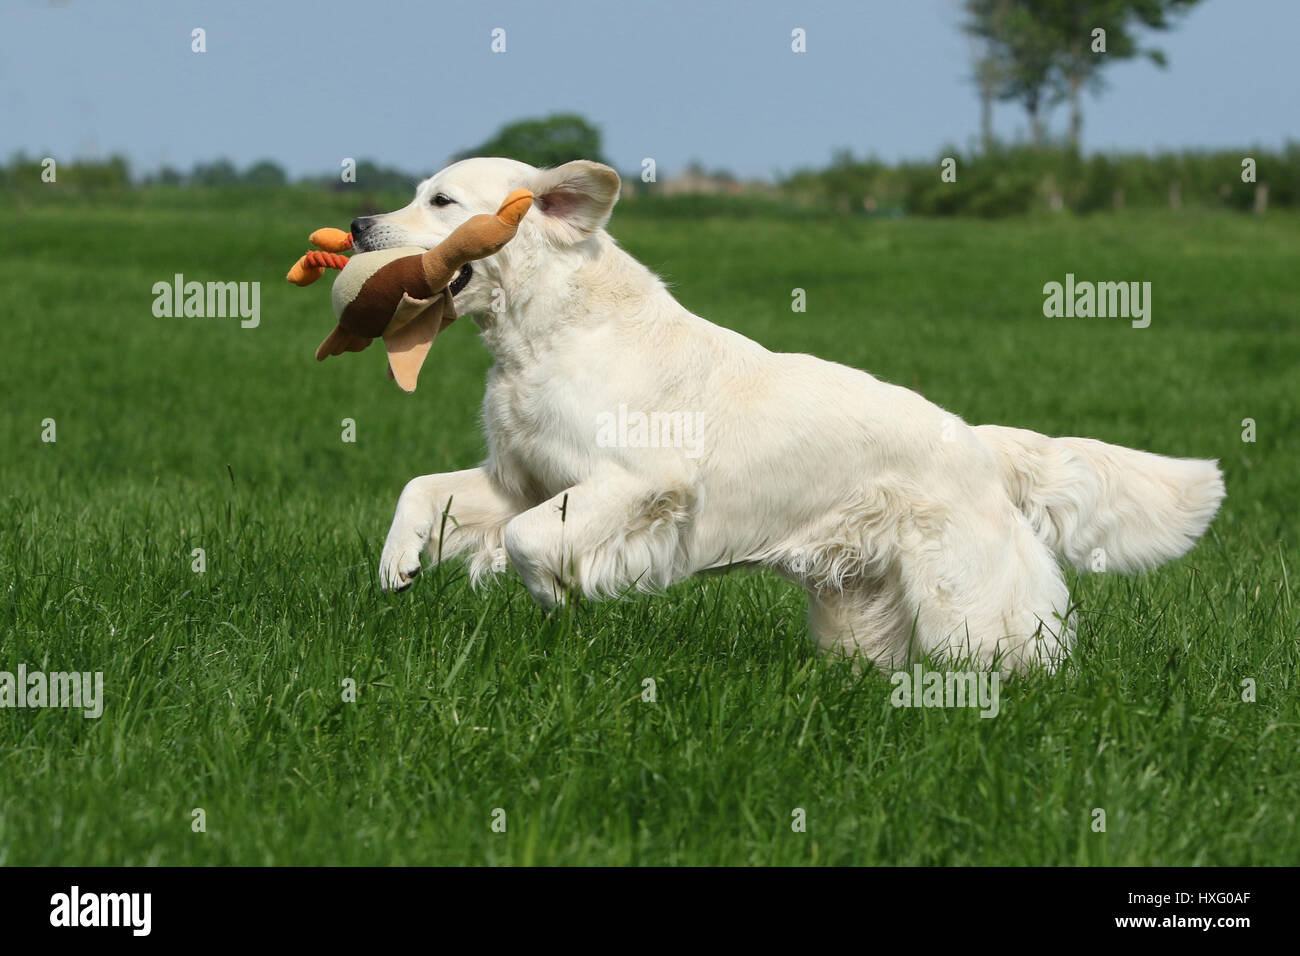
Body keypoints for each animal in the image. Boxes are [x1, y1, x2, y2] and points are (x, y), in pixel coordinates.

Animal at [361, 157, 1222, 671]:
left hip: (966, 603)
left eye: (441, 200)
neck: (548, 328)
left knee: (1013, 654)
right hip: (856, 605)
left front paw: (550, 593)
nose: (364, 222)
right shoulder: (520, 475)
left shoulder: (639, 481)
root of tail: (980, 441)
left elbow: (528, 539)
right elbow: (422, 490)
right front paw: (399, 563)